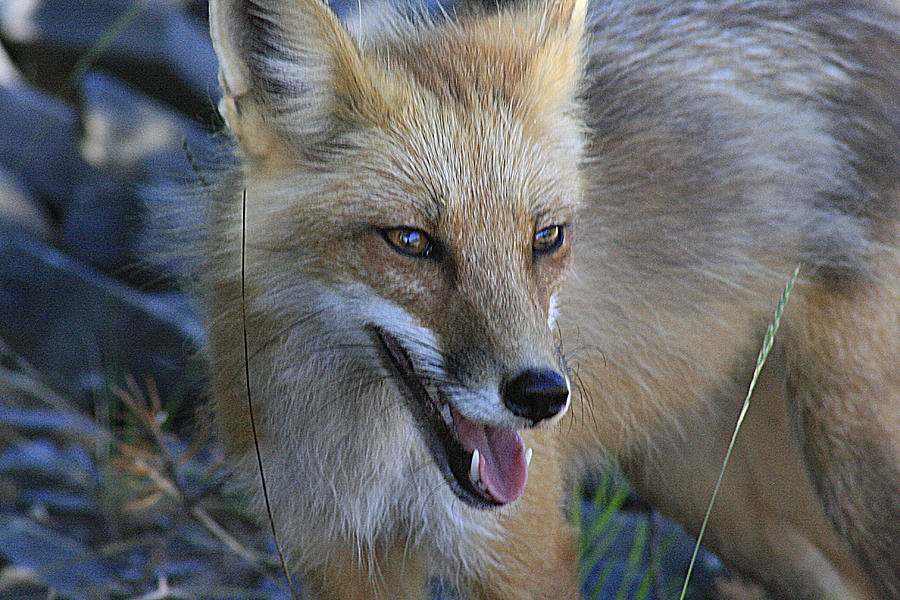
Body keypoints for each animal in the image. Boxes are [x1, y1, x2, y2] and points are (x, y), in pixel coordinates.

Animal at [195, 0, 900, 596]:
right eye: (411, 241)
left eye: (546, 237)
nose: (540, 395)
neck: (372, 470)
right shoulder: (332, 554)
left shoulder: (522, 548)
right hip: (725, 501)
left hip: (847, 466)